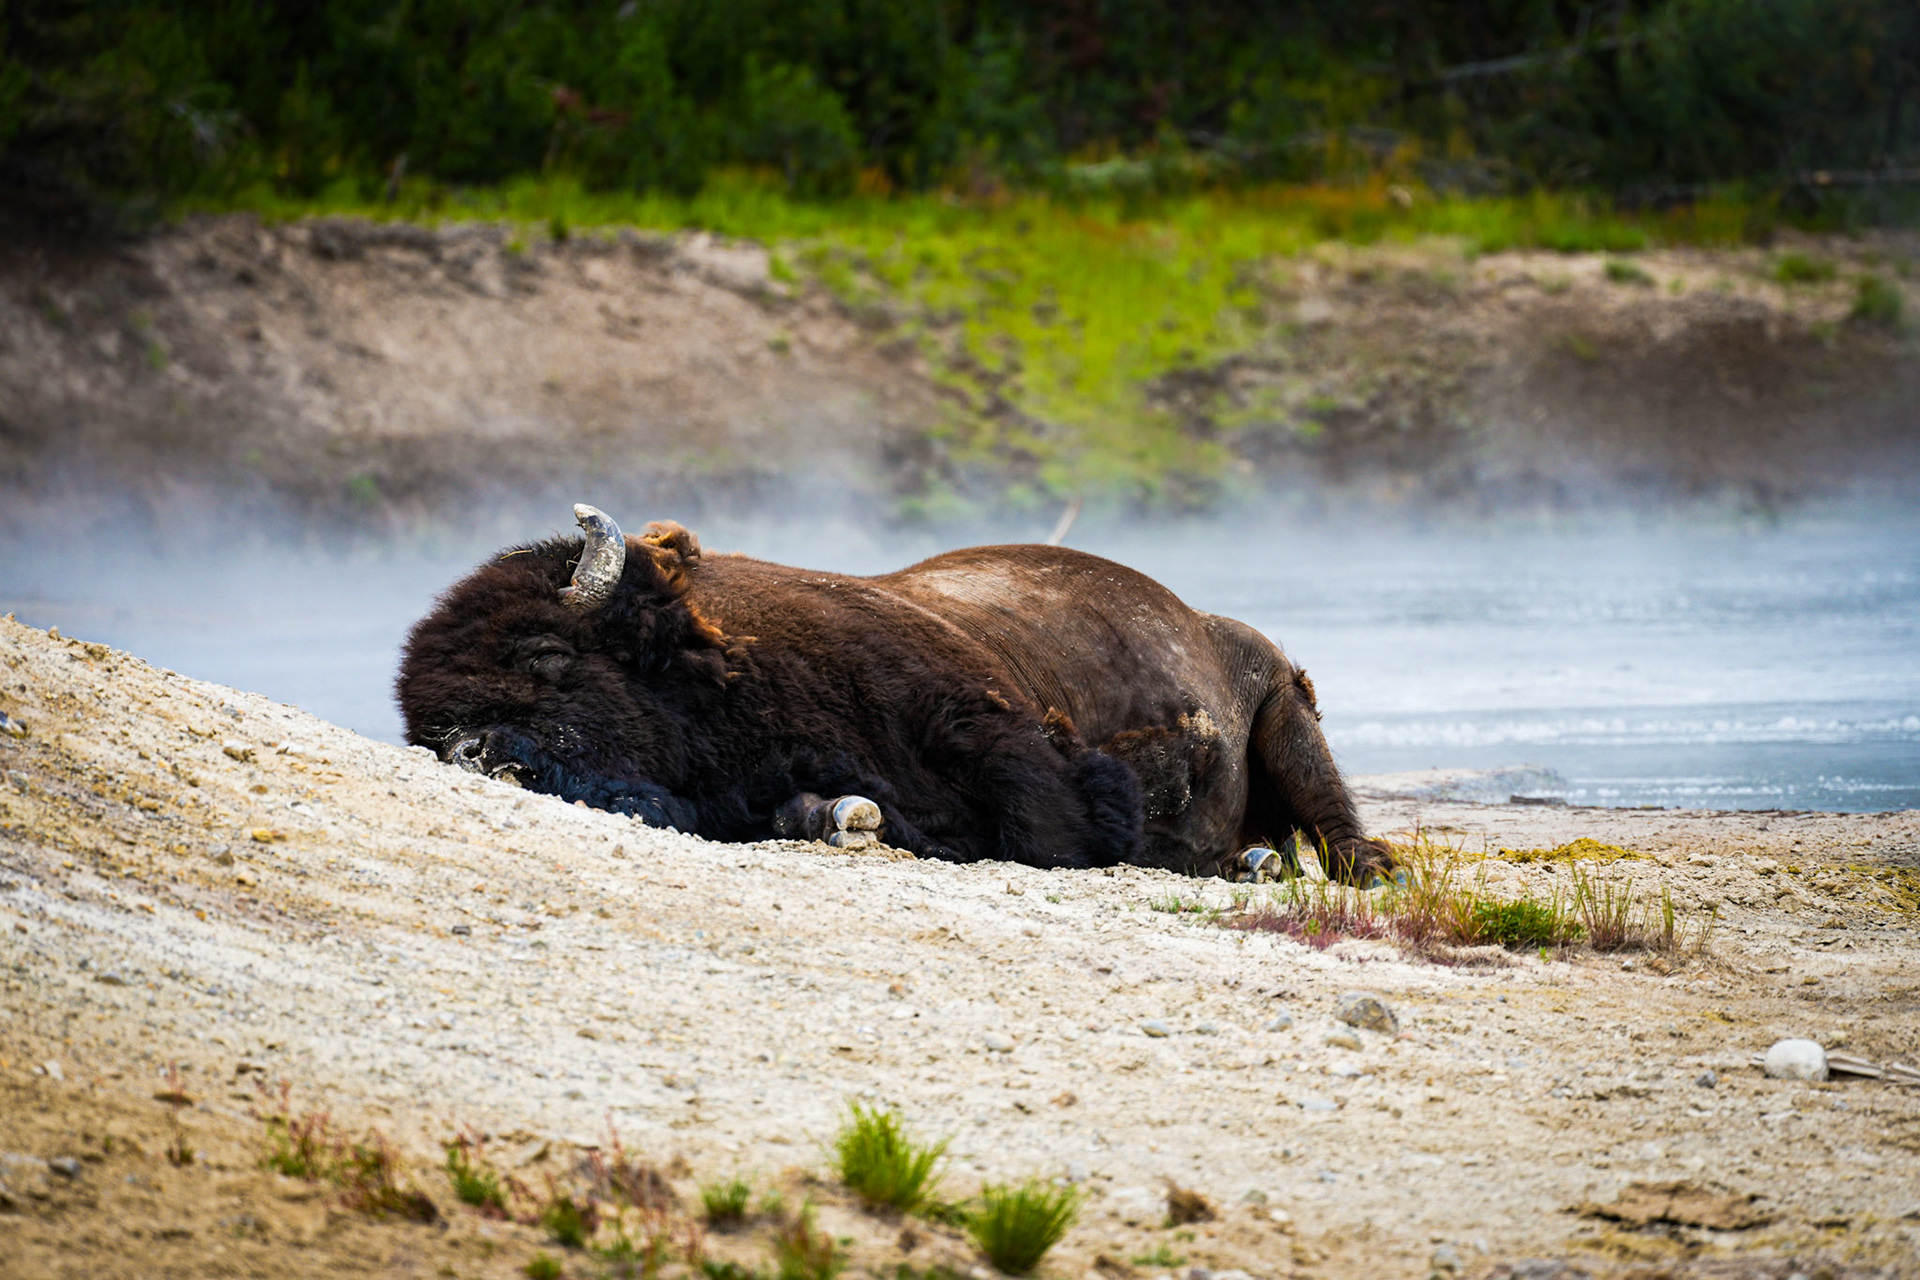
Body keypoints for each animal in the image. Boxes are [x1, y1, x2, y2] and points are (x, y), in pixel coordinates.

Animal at [397, 505, 1393, 883]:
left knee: (1333, 821)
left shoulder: (995, 734)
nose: (470, 752)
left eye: (545, 655)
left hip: (1285, 709)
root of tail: (1212, 622)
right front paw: (849, 815)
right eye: (418, 724)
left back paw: (1316, 865)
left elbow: (1051, 829)